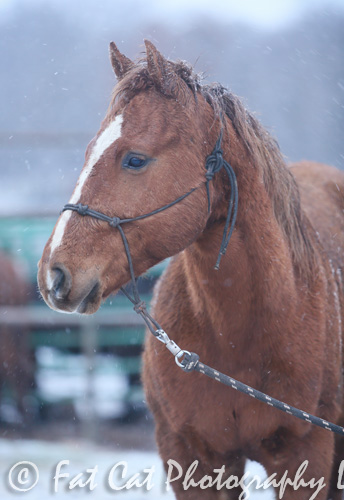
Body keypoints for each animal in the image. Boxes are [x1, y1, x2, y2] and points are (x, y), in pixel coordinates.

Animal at [37, 41, 344, 498]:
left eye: (135, 160)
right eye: (89, 151)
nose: (53, 274)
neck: (241, 336)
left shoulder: (307, 458)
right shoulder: (188, 455)